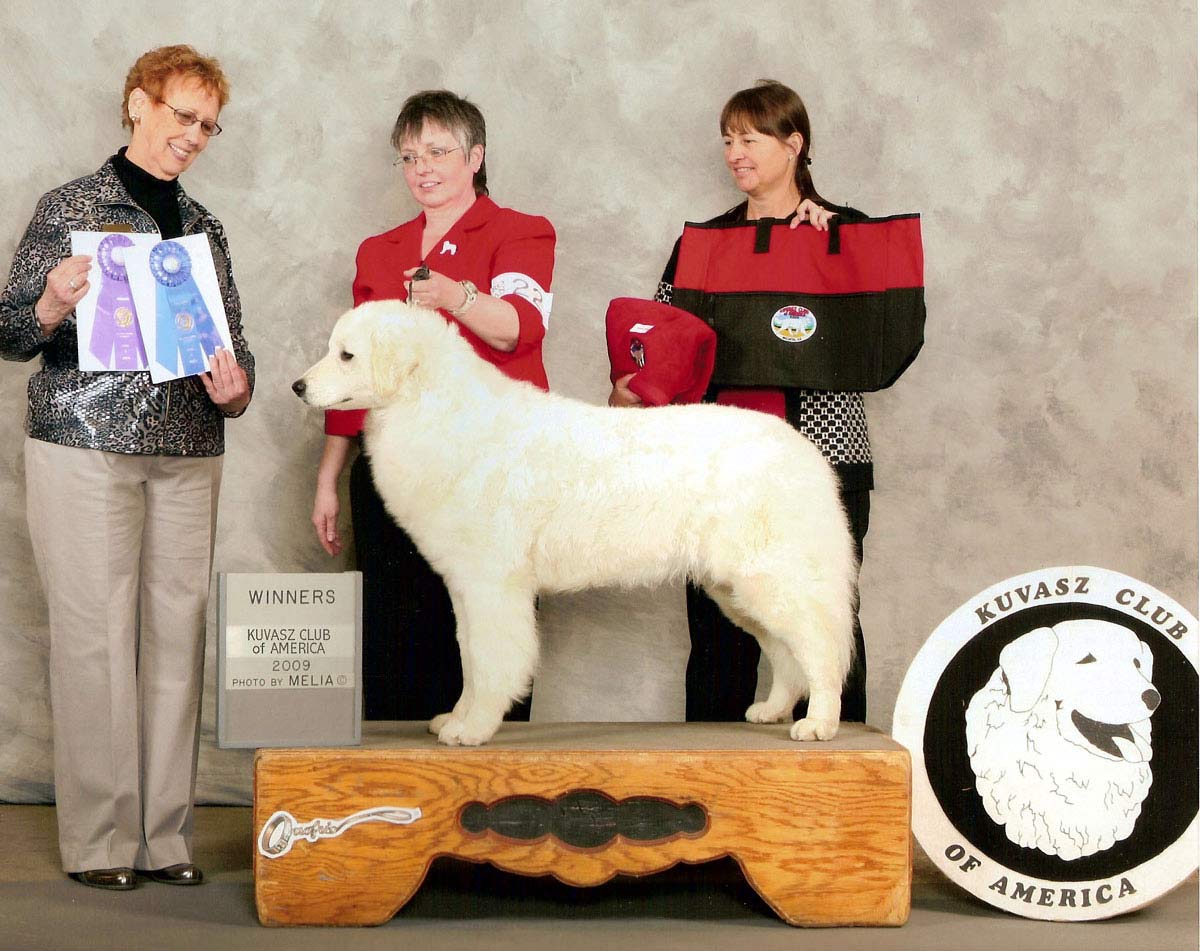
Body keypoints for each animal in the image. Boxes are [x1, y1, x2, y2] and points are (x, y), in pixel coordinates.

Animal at [291, 301, 859, 744]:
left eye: (346, 355)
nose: (297, 386)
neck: (438, 412)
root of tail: (805, 451)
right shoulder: (466, 585)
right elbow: (470, 657)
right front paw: (455, 718)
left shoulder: (492, 585)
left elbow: (491, 658)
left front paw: (473, 729)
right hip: (736, 589)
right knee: (785, 653)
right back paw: (774, 710)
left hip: (773, 579)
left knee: (820, 648)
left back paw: (819, 724)